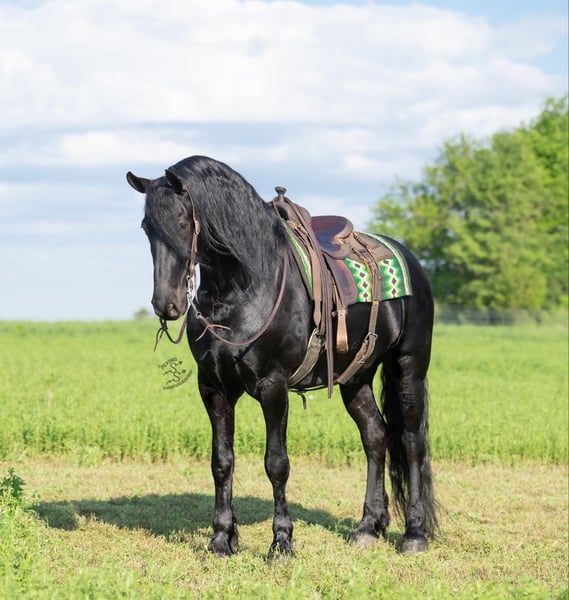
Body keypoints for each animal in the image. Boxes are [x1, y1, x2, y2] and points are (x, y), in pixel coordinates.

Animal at [126, 155, 437, 558]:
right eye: (147, 227)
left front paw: (282, 542)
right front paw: (221, 539)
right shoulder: (213, 388)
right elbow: (221, 462)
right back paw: (369, 526)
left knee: (412, 442)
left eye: (182, 222)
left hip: (408, 365)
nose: (167, 304)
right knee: (376, 436)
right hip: (356, 378)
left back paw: (414, 534)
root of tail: (410, 259)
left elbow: (276, 463)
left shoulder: (272, 386)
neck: (248, 286)